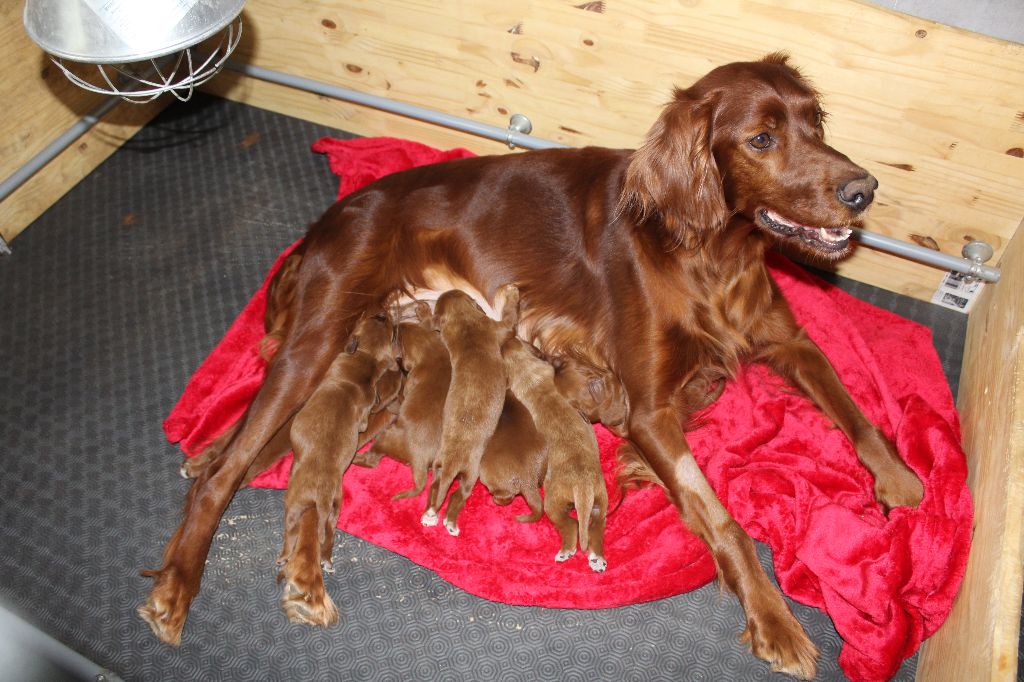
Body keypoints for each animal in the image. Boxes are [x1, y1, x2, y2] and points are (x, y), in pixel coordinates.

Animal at [501, 337, 606, 569]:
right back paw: (597, 558)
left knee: (571, 526)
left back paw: (565, 552)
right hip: (600, 502)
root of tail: (582, 488)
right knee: (596, 527)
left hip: (553, 504)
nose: (506, 339)